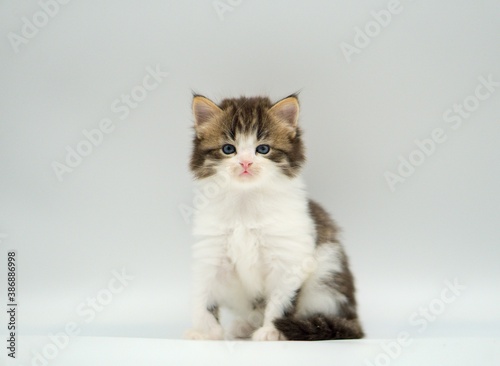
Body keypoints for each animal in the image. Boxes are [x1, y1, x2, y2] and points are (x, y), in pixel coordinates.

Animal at [184, 93, 364, 340]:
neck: (245, 203)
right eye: (229, 149)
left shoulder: (289, 259)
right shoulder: (211, 253)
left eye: (263, 149)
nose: (246, 162)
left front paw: (271, 331)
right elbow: (205, 297)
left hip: (328, 272)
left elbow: (281, 302)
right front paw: (204, 332)